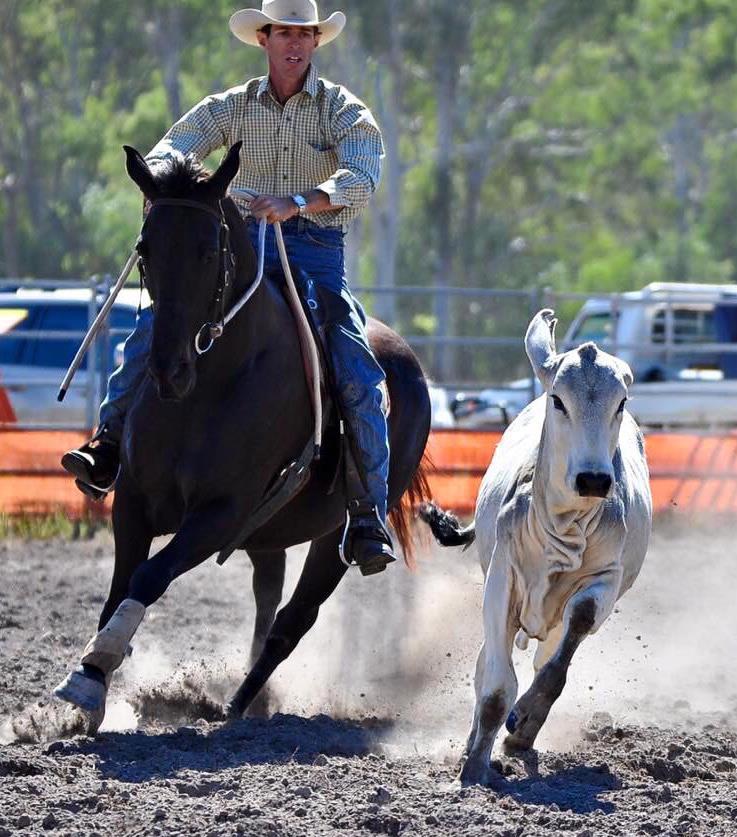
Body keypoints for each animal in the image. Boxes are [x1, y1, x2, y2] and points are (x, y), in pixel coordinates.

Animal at [422, 309, 652, 785]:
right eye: (558, 400)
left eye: (620, 403)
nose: (594, 479)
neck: (565, 526)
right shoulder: (501, 581)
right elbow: (494, 687)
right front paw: (474, 766)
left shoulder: (606, 582)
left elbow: (560, 655)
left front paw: (523, 722)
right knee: (487, 666)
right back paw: (475, 743)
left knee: (543, 657)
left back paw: (520, 736)